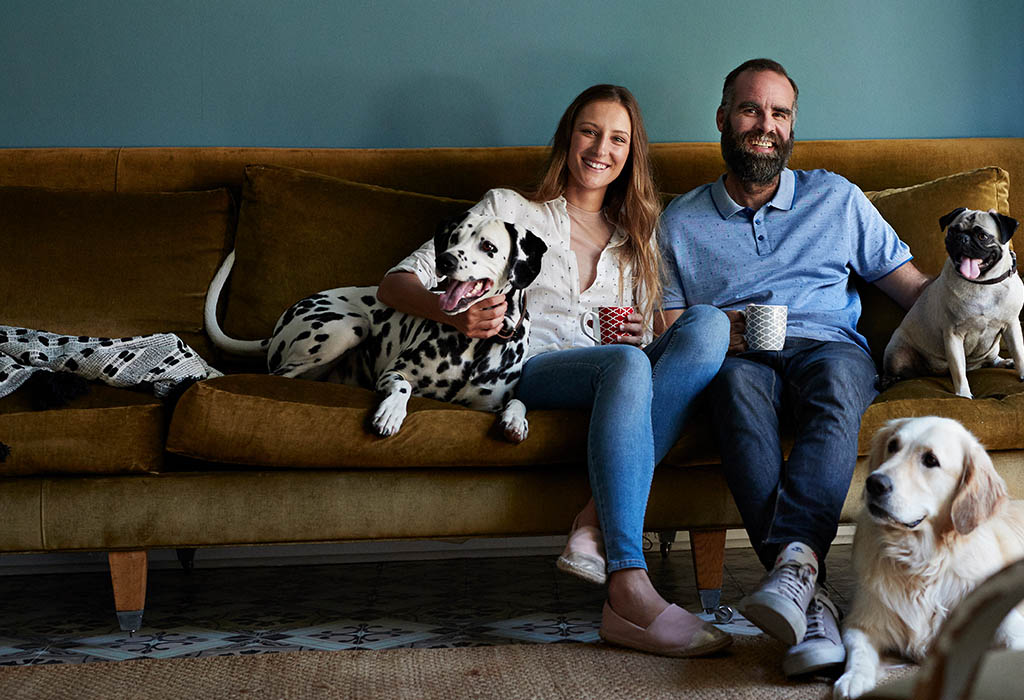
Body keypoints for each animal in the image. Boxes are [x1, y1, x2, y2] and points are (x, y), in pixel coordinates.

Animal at [202, 215, 548, 440]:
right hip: (347, 327)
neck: (474, 344)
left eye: (488, 246)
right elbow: (402, 387)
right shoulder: (394, 373)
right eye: (454, 239)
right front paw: (390, 412)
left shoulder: (486, 404)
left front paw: (516, 421)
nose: (446, 261)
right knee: (275, 376)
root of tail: (277, 328)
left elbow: (518, 401)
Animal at [831, 417, 1024, 695]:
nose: (873, 483)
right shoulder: (862, 621)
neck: (922, 562)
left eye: (930, 460)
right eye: (893, 445)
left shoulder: (1005, 621)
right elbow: (859, 650)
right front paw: (854, 677)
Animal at [880, 206, 1024, 399]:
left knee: (991, 359)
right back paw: (888, 380)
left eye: (982, 236)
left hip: (991, 349)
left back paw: (1003, 362)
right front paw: (964, 395)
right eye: (953, 231)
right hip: (897, 352)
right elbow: (958, 371)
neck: (982, 284)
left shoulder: (1011, 326)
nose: (962, 239)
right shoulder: (953, 335)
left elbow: (1019, 353)